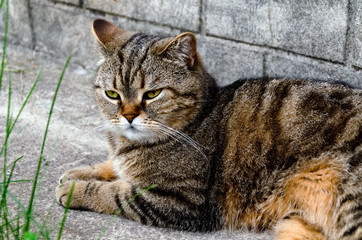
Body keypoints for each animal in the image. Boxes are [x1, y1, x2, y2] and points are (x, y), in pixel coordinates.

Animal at [56, 19, 362, 240]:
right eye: (112, 94)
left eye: (153, 94)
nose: (128, 115)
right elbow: (112, 167)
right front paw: (80, 172)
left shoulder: (179, 200)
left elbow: (115, 194)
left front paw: (75, 188)